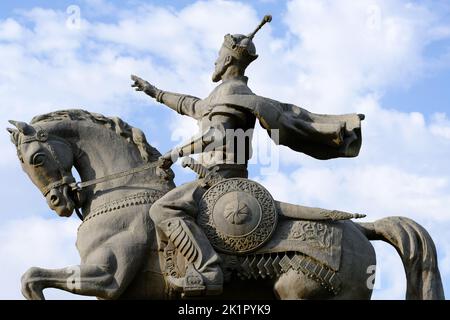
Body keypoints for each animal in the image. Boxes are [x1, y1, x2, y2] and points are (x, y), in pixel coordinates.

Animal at [7, 110, 442, 300]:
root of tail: (361, 228)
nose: (58, 203)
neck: (124, 195)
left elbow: (31, 276)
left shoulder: (105, 277)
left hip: (302, 291)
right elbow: (30, 276)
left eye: (36, 159)